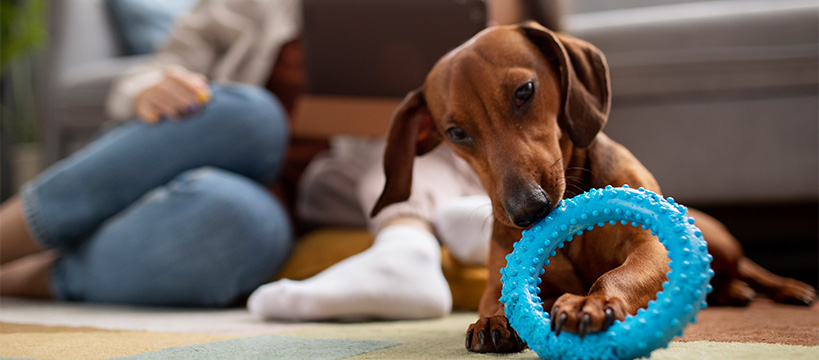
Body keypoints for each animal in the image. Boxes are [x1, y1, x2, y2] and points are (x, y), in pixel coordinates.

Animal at [372, 23, 812, 354]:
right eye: (456, 133)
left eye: (524, 91)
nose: (527, 211)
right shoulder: (498, 273)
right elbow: (495, 296)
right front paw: (495, 318)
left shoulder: (652, 247)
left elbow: (618, 275)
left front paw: (591, 301)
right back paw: (735, 293)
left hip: (722, 244)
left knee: (752, 269)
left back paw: (788, 289)